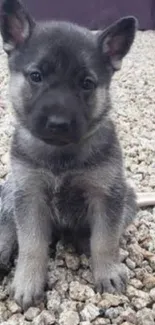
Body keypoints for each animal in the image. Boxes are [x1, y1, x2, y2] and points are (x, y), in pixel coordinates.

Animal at [0, 0, 138, 310]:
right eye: (36, 76)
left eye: (86, 83)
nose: (58, 123)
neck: (60, 155)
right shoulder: (29, 195)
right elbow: (31, 243)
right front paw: (27, 280)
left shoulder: (106, 195)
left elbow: (105, 240)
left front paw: (107, 271)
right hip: (10, 191)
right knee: (8, 223)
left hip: (129, 198)